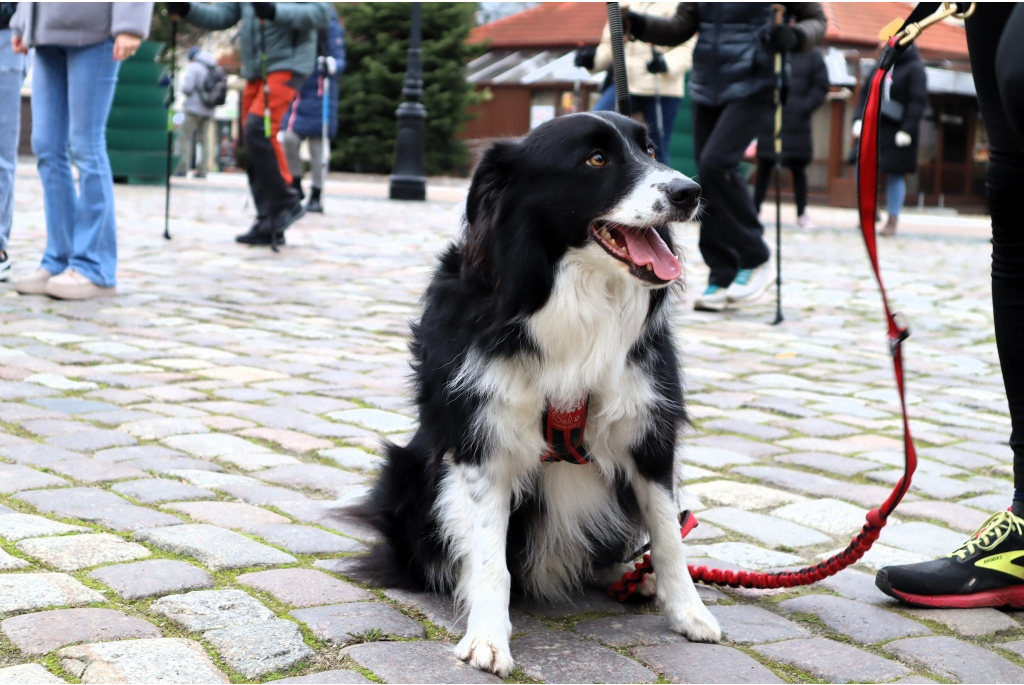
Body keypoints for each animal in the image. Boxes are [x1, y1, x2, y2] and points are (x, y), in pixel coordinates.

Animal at [356, 111, 724, 671]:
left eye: (650, 148)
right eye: (596, 159)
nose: (690, 192)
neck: (571, 293)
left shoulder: (650, 435)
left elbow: (667, 535)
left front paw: (688, 613)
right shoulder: (481, 443)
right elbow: (491, 557)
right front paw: (488, 637)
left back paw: (631, 578)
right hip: (412, 474)